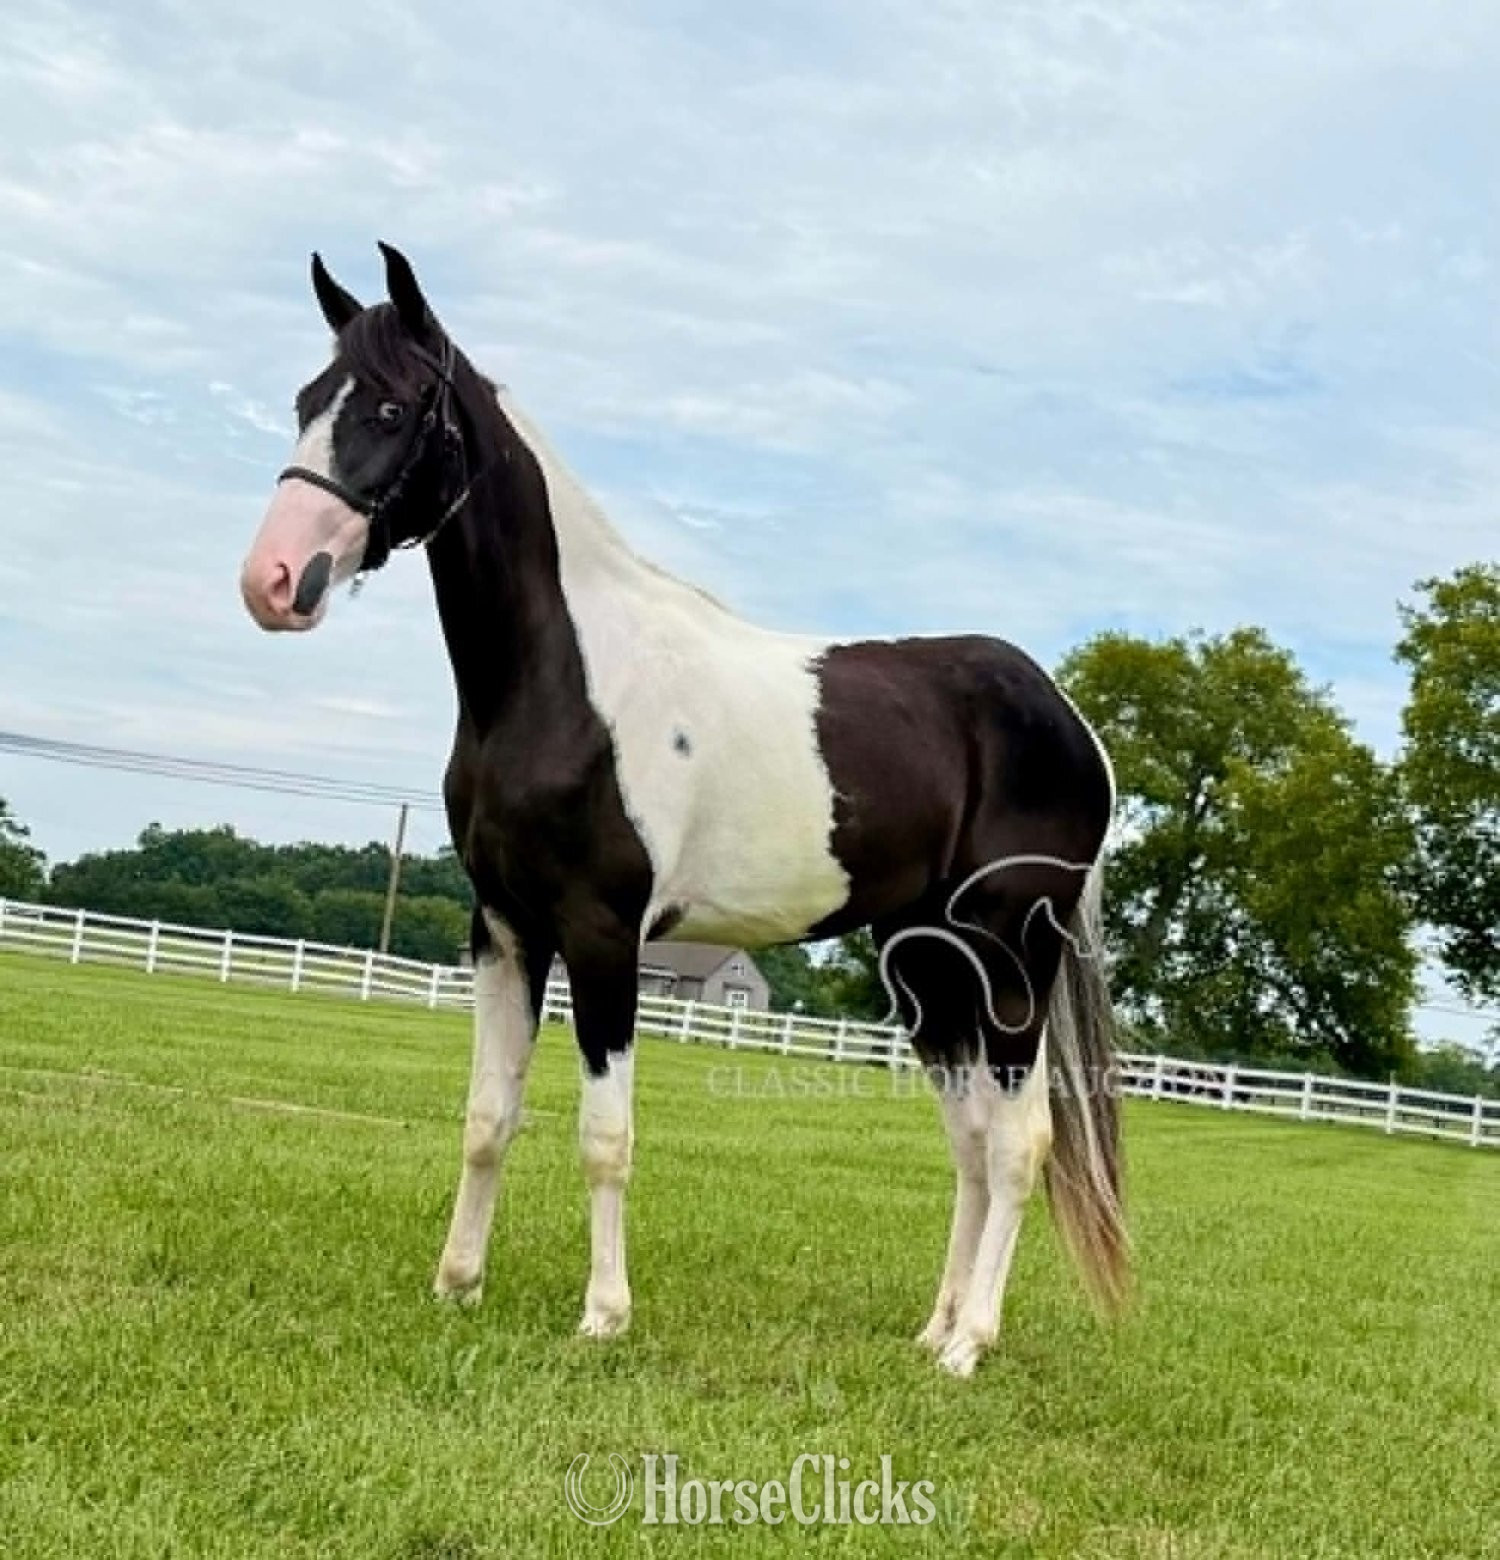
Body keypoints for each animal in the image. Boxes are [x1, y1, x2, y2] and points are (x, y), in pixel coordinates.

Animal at [239, 244, 1128, 1377]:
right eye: (309, 401)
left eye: (392, 408)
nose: (272, 581)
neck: (565, 677)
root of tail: (1070, 722)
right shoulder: (504, 930)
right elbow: (487, 1115)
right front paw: (457, 1286)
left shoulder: (603, 934)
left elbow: (604, 1137)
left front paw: (604, 1315)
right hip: (928, 964)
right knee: (970, 1140)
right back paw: (931, 1331)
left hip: (1011, 956)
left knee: (1019, 1143)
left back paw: (969, 1346)